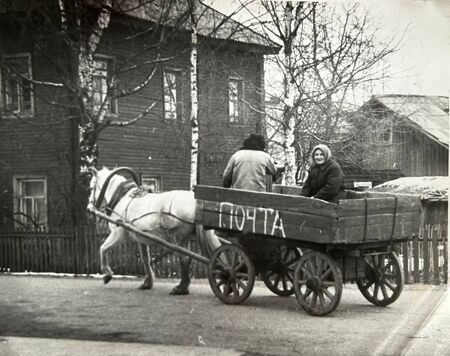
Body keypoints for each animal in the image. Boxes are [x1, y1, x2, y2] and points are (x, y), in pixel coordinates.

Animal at [88, 167, 221, 294]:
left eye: (91, 187)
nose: (89, 207)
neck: (122, 198)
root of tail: (196, 204)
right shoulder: (141, 238)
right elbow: (145, 259)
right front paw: (147, 282)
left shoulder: (118, 234)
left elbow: (103, 248)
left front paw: (107, 274)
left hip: (177, 239)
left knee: (185, 260)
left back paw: (181, 288)